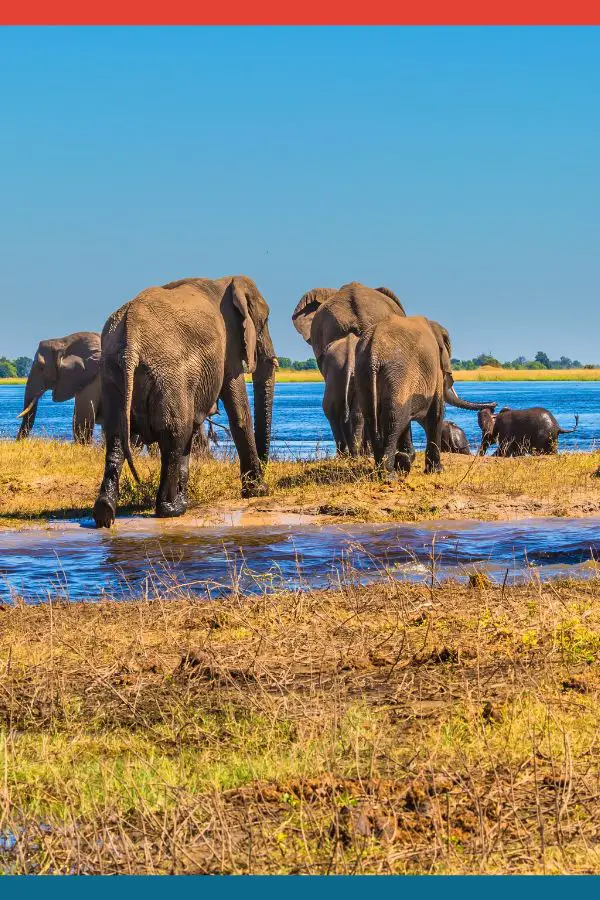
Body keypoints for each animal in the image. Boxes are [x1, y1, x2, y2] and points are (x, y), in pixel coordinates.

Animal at [93, 274, 276, 528]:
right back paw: (172, 509)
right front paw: (258, 491)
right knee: (175, 434)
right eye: (265, 321)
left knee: (117, 436)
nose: (264, 472)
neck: (225, 282)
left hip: (112, 374)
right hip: (168, 375)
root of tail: (131, 341)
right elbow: (239, 412)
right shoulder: (228, 346)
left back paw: (105, 514)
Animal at [354, 314, 494, 474]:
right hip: (397, 374)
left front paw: (406, 460)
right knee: (393, 419)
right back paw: (390, 474)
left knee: (372, 417)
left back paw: (382, 470)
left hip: (363, 373)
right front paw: (436, 471)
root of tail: (374, 353)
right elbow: (436, 414)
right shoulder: (435, 372)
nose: (493, 406)